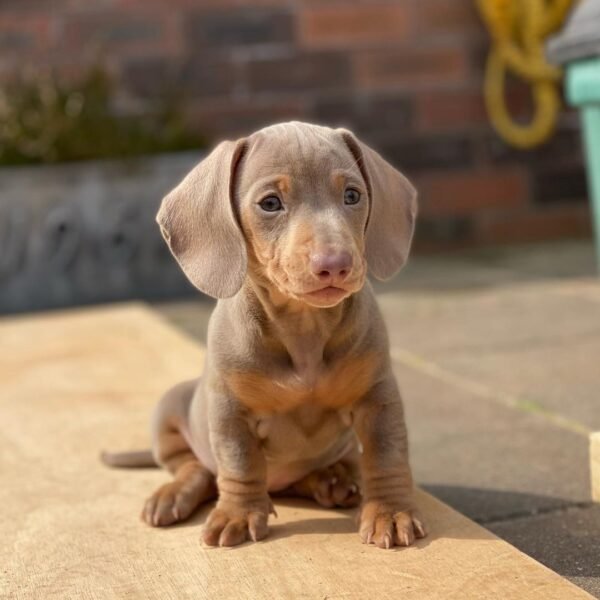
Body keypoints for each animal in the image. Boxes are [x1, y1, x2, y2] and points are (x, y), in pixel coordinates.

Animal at [103, 122, 424, 548]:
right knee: (194, 468)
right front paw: (237, 514)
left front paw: (389, 511)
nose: (336, 264)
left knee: (334, 467)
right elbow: (240, 464)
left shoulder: (377, 399)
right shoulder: (229, 409)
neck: (304, 328)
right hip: (169, 409)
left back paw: (332, 480)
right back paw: (173, 494)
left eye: (352, 195)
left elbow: (386, 456)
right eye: (270, 203)